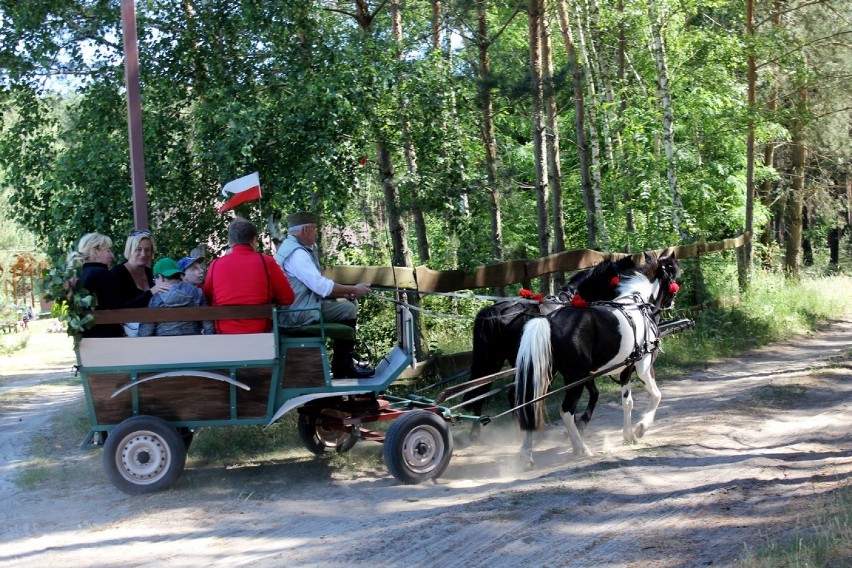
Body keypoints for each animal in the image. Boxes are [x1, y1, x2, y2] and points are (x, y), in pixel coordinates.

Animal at [512, 253, 680, 466]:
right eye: (672, 273)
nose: (672, 301)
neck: (636, 303)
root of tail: (548, 320)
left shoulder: (626, 370)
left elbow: (627, 402)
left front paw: (628, 436)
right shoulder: (643, 367)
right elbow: (656, 395)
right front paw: (641, 428)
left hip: (547, 375)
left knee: (530, 406)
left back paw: (527, 454)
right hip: (575, 378)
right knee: (566, 412)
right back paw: (581, 449)